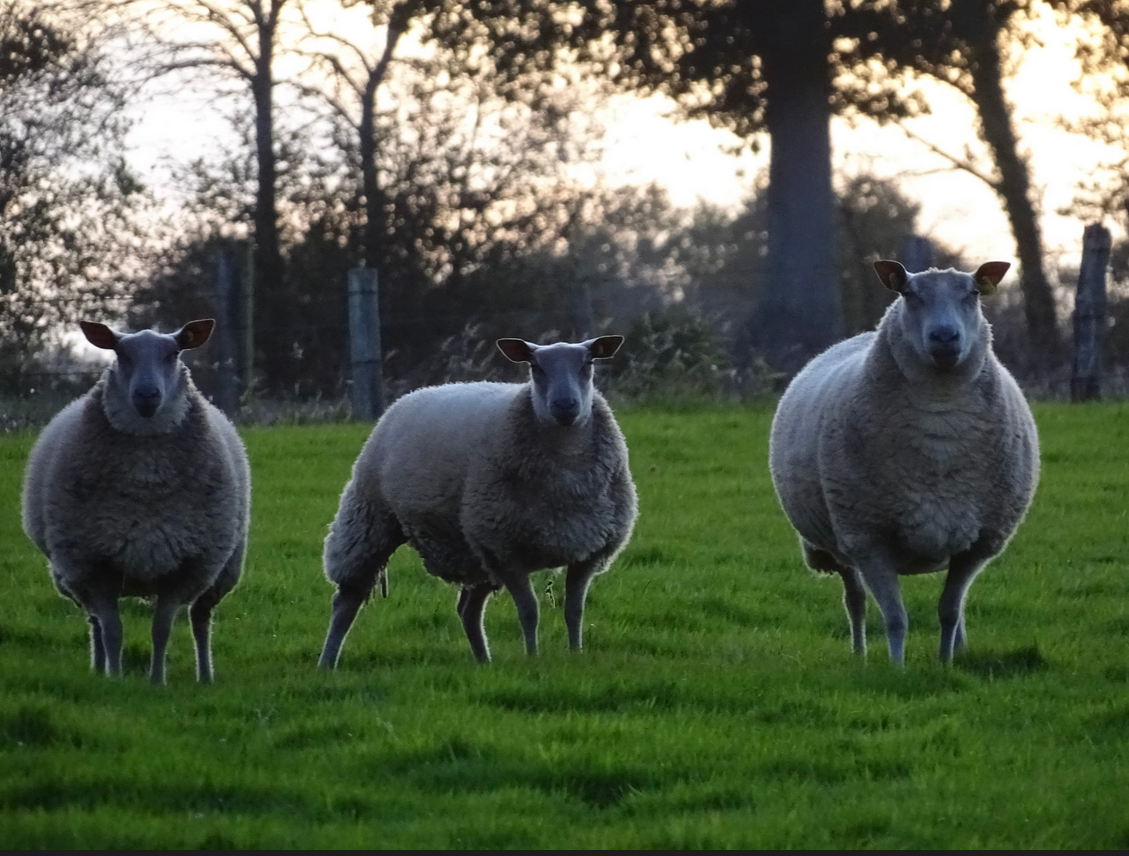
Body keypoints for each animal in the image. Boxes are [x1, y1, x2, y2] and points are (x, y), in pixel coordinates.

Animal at [20, 318, 251, 686]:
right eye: (121, 353)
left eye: (173, 353)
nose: (146, 396)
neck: (146, 478)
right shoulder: (94, 567)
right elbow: (112, 631)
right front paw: (114, 678)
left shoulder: (183, 569)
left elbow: (161, 630)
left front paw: (156, 681)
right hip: (75, 576)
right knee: (95, 624)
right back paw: (99, 668)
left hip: (219, 571)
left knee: (200, 621)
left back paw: (205, 676)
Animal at [320, 336, 636, 668]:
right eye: (534, 367)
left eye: (588, 364)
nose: (565, 406)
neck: (566, 466)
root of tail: (418, 392)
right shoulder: (506, 551)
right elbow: (530, 611)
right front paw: (532, 657)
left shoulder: (588, 551)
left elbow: (574, 611)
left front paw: (576, 654)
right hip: (370, 518)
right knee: (347, 599)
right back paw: (327, 663)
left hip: (473, 548)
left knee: (468, 611)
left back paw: (485, 662)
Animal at [767, 259, 1038, 664]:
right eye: (909, 294)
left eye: (973, 293)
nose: (944, 337)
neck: (940, 421)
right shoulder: (868, 538)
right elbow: (895, 618)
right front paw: (897, 668)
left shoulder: (978, 543)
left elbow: (949, 610)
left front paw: (945, 664)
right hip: (840, 542)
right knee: (855, 601)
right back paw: (860, 655)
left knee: (956, 609)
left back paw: (961, 649)